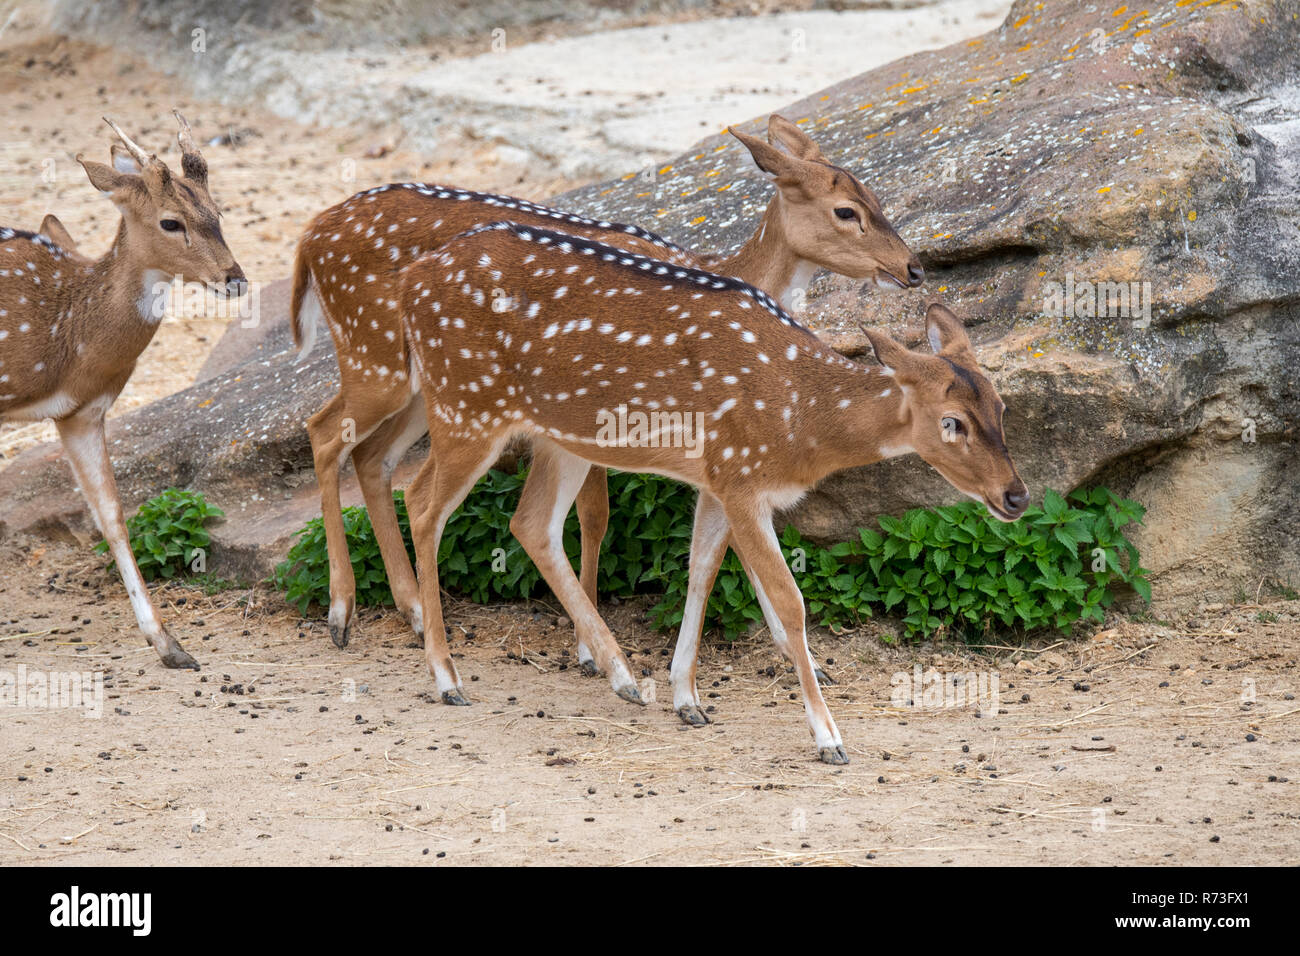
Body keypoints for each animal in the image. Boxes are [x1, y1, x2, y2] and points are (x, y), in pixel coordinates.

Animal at [0, 112, 246, 670]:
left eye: (218, 212)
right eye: (171, 222)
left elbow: (112, 516)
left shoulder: (82, 412)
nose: (235, 279)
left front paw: (171, 646)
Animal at [290, 114, 923, 661]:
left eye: (877, 197)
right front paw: (586, 648)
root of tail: (309, 236)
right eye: (846, 210)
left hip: (429, 387)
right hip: (376, 356)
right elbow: (596, 514)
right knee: (324, 432)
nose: (914, 268)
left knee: (372, 455)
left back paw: (412, 609)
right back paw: (343, 612)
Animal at [396, 221, 1028, 762]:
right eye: (952, 422)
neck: (801, 419)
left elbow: (701, 569)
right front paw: (829, 738)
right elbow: (790, 601)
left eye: (1002, 407)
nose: (1016, 496)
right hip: (465, 403)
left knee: (531, 523)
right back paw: (448, 678)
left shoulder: (721, 478)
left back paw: (623, 677)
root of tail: (410, 282)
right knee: (422, 502)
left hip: (558, 434)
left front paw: (687, 699)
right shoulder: (740, 475)